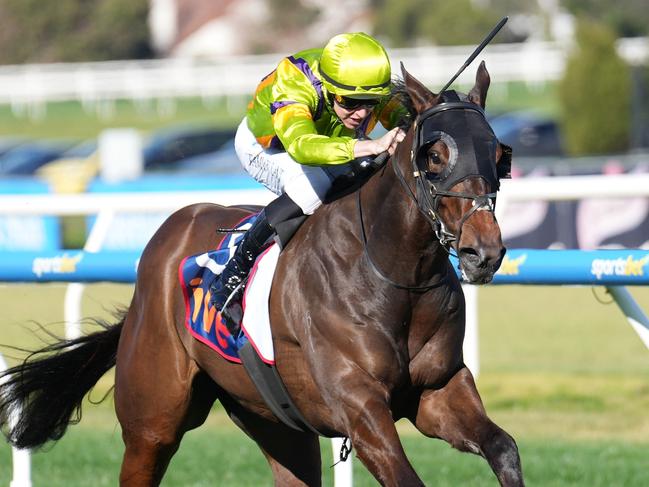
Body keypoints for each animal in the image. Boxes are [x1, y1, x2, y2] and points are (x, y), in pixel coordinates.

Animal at [0, 62, 520, 487]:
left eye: (499, 156)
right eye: (434, 156)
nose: (483, 252)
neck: (392, 269)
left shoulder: (437, 390)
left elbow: (504, 448)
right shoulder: (359, 406)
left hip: (275, 421)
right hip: (153, 419)